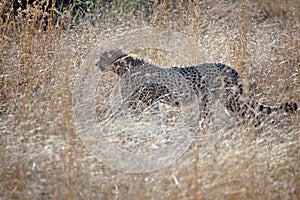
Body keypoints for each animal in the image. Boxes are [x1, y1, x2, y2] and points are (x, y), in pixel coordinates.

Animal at [96, 48, 298, 126]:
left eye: (103, 57)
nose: (95, 64)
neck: (124, 68)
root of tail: (229, 67)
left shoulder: (145, 101)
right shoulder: (140, 101)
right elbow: (120, 113)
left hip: (229, 99)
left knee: (251, 114)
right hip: (212, 100)